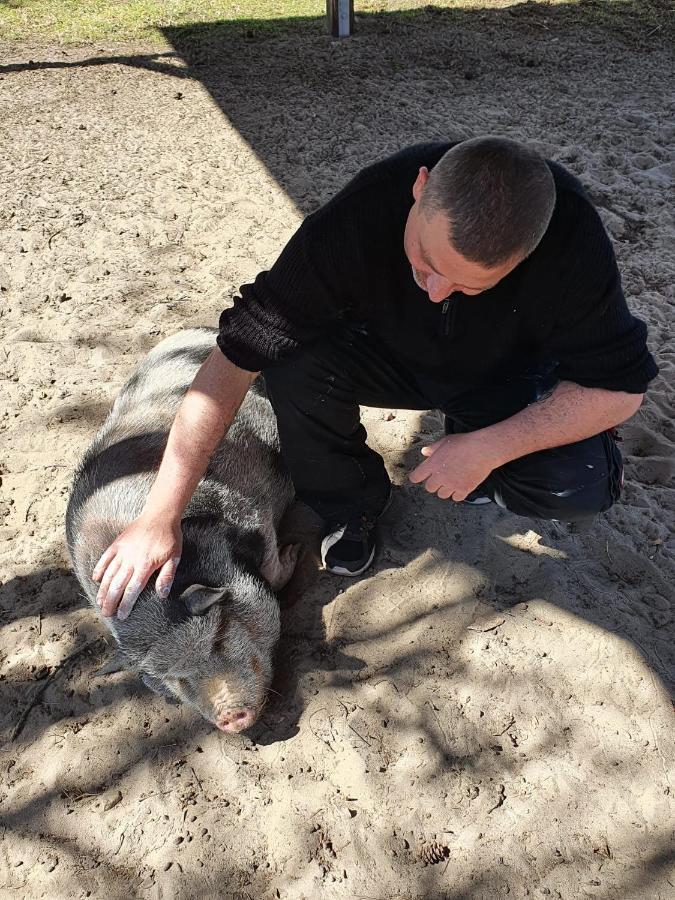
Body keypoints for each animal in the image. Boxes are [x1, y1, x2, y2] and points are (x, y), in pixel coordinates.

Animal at [66, 328, 298, 732]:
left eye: (217, 638)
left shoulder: (247, 511)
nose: (232, 719)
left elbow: (272, 563)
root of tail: (190, 331)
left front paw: (294, 552)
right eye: (175, 680)